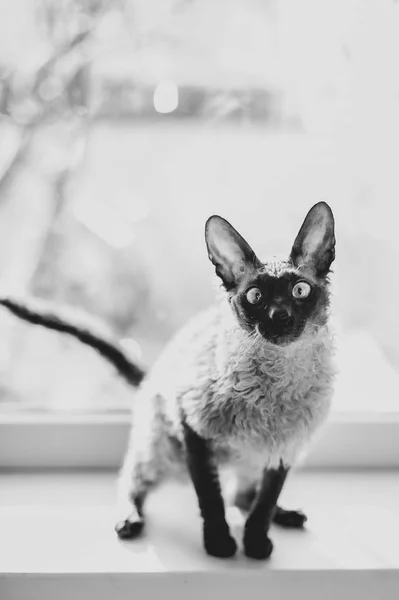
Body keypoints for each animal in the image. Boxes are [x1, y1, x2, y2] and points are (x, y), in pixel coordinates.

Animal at [0, 200, 338, 556]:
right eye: (256, 296)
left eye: (300, 290)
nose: (280, 316)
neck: (276, 382)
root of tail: (155, 375)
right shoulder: (193, 431)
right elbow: (211, 498)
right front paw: (219, 543)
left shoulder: (285, 447)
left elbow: (264, 500)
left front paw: (256, 542)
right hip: (165, 451)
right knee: (133, 480)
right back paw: (129, 518)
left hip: (251, 458)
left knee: (243, 496)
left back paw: (285, 514)